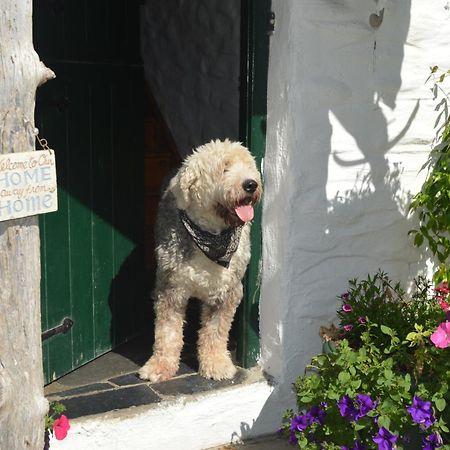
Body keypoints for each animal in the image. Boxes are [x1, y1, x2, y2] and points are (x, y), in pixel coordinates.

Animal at [139, 139, 262, 382]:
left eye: (249, 166)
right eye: (224, 168)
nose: (251, 184)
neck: (210, 235)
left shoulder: (226, 291)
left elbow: (215, 331)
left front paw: (215, 364)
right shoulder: (171, 288)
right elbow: (167, 332)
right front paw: (159, 366)